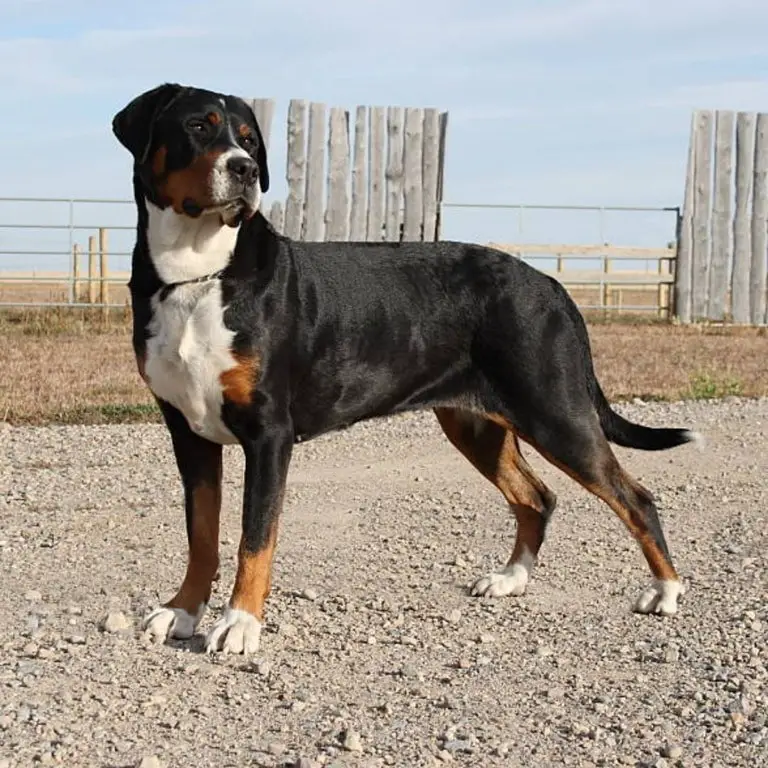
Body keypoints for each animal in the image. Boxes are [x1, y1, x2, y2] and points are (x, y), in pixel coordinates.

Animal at [115, 85, 704, 660]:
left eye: (249, 140)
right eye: (199, 126)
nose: (243, 168)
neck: (197, 275)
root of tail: (551, 284)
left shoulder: (268, 435)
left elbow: (254, 538)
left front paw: (239, 624)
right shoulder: (188, 432)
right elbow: (201, 534)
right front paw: (183, 611)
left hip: (555, 414)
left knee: (634, 497)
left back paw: (665, 590)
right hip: (477, 425)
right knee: (537, 497)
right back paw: (511, 578)